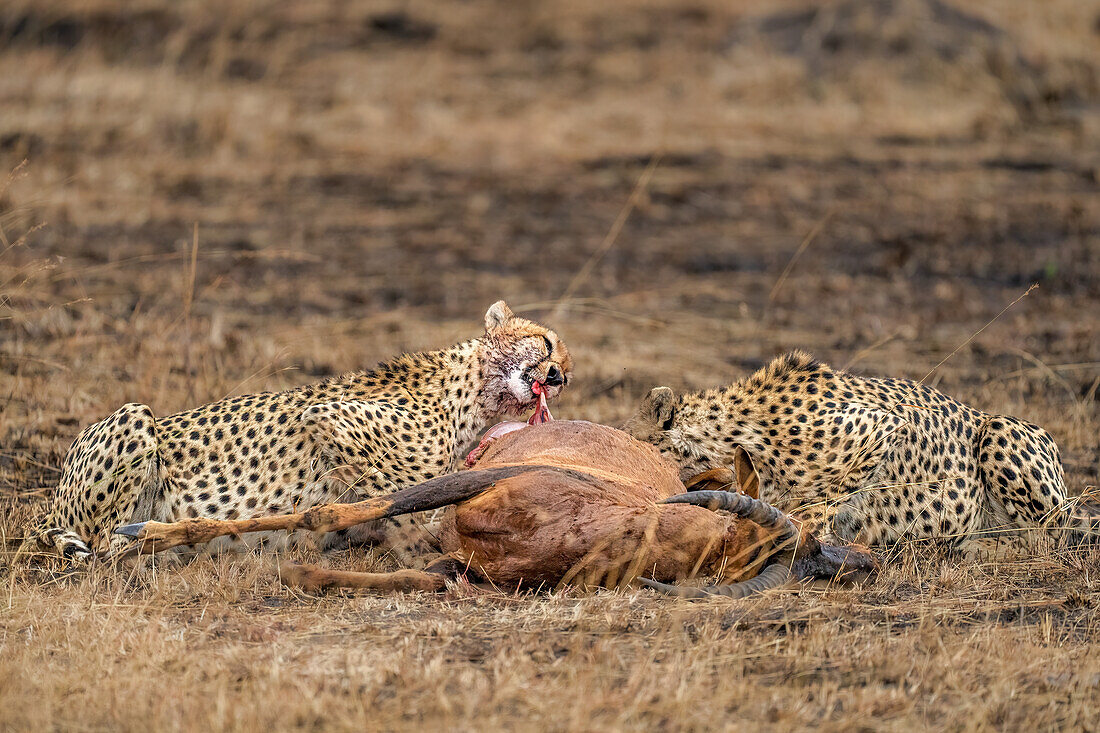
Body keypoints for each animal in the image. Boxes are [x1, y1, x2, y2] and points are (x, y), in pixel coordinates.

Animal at [25, 299, 576, 556]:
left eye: (566, 374)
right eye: (547, 344)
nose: (557, 377)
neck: (471, 392)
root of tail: (48, 502)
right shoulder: (329, 419)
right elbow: (404, 496)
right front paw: (423, 537)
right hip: (135, 414)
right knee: (104, 546)